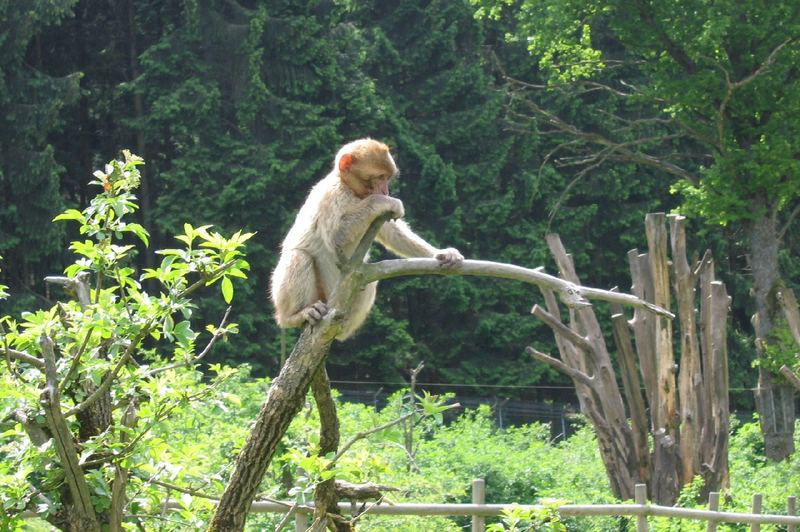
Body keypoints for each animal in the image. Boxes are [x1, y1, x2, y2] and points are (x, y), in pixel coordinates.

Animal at [272, 137, 462, 338]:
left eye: (387, 178)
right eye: (379, 177)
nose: (385, 192)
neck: (350, 189)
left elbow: (391, 233)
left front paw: (442, 253)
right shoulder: (331, 196)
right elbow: (335, 236)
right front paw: (385, 201)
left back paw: (344, 325)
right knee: (299, 256)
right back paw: (295, 316)